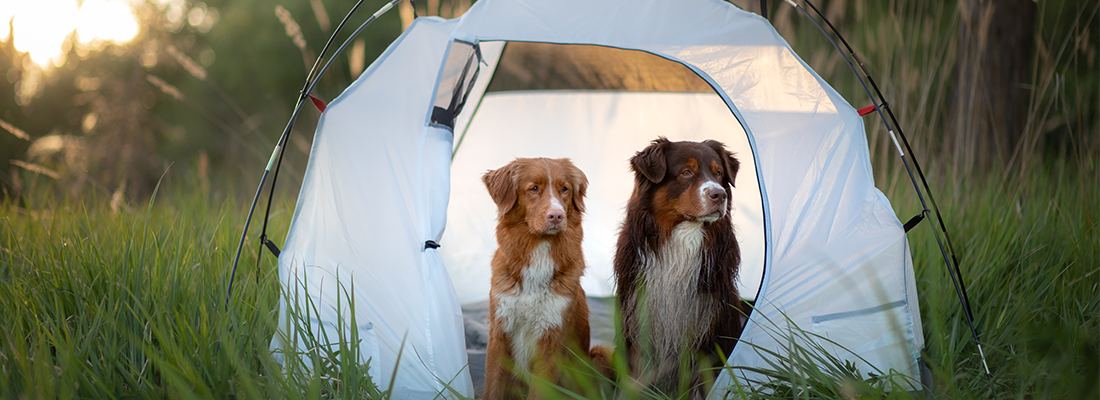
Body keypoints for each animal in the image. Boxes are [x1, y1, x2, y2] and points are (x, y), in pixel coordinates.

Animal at [484, 157, 616, 400]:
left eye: (564, 189)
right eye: (534, 188)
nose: (556, 216)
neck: (539, 248)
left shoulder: (551, 337)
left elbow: (540, 390)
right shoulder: (499, 332)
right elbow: (493, 387)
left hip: (600, 355)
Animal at [616, 136, 743, 397]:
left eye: (718, 173)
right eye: (686, 172)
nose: (719, 195)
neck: (683, 239)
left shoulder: (708, 332)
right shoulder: (639, 326)